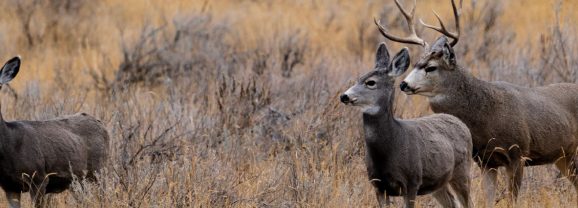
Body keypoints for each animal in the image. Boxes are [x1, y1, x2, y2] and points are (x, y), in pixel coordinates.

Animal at [0, 57, 109, 208]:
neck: (9, 144)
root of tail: (101, 124)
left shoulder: (38, 177)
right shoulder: (9, 187)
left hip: (99, 168)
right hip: (77, 180)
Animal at [340, 43, 470, 207]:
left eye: (371, 82)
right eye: (359, 78)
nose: (344, 96)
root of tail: (461, 123)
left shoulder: (412, 181)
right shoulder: (378, 185)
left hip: (462, 171)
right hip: (438, 182)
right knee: (451, 202)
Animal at [376, 0, 578, 206]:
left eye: (431, 67)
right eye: (416, 63)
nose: (403, 84)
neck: (486, 115)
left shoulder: (518, 153)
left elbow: (512, 200)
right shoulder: (486, 161)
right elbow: (488, 199)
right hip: (563, 157)